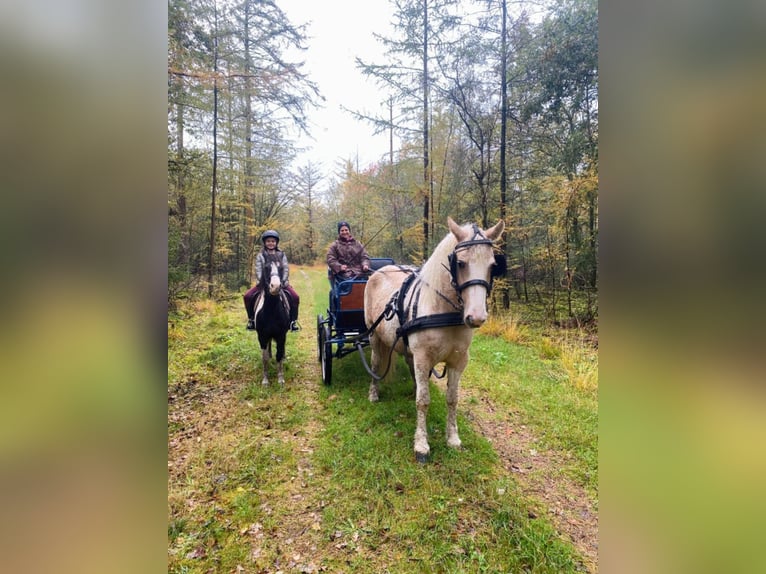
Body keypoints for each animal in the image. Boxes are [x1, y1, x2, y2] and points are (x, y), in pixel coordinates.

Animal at [364, 217, 506, 462]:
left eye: (492, 265)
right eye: (460, 263)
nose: (476, 317)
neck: (441, 309)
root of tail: (379, 270)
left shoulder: (458, 361)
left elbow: (452, 398)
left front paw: (453, 438)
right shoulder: (423, 358)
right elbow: (423, 401)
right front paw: (421, 445)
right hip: (374, 337)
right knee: (375, 363)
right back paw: (374, 393)